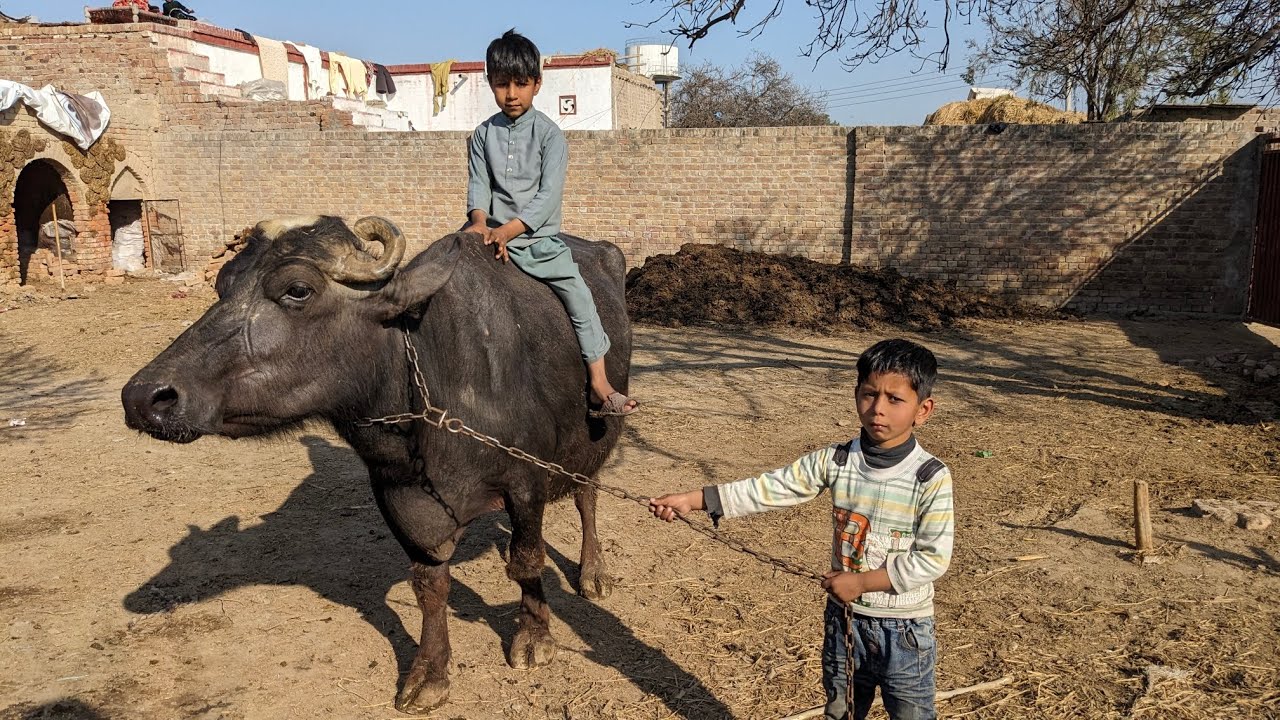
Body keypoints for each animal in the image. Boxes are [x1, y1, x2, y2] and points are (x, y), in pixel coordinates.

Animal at [121, 216, 631, 713]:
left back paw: (593, 574)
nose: (145, 397)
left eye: (298, 290)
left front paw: (534, 638)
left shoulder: (526, 482)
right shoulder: (397, 497)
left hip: (597, 438)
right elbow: (429, 586)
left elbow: (526, 561)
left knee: (587, 495)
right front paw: (429, 674)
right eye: (223, 284)